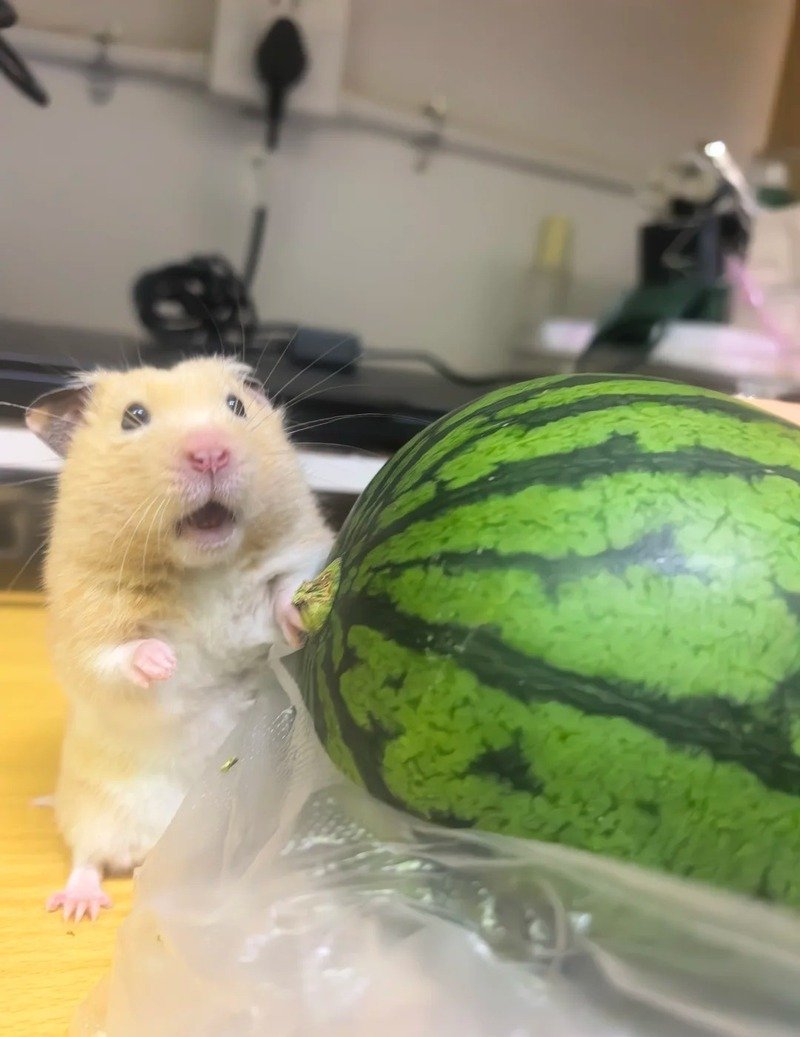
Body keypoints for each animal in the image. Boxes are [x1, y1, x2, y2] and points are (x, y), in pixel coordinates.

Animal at [25, 357, 332, 921]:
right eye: (133, 417)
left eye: (236, 405)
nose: (210, 452)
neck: (203, 569)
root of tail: (155, 848)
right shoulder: (88, 623)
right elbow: (116, 658)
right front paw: (164, 661)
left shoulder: (295, 556)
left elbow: (282, 592)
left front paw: (299, 623)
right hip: (92, 812)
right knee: (87, 858)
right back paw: (78, 905)